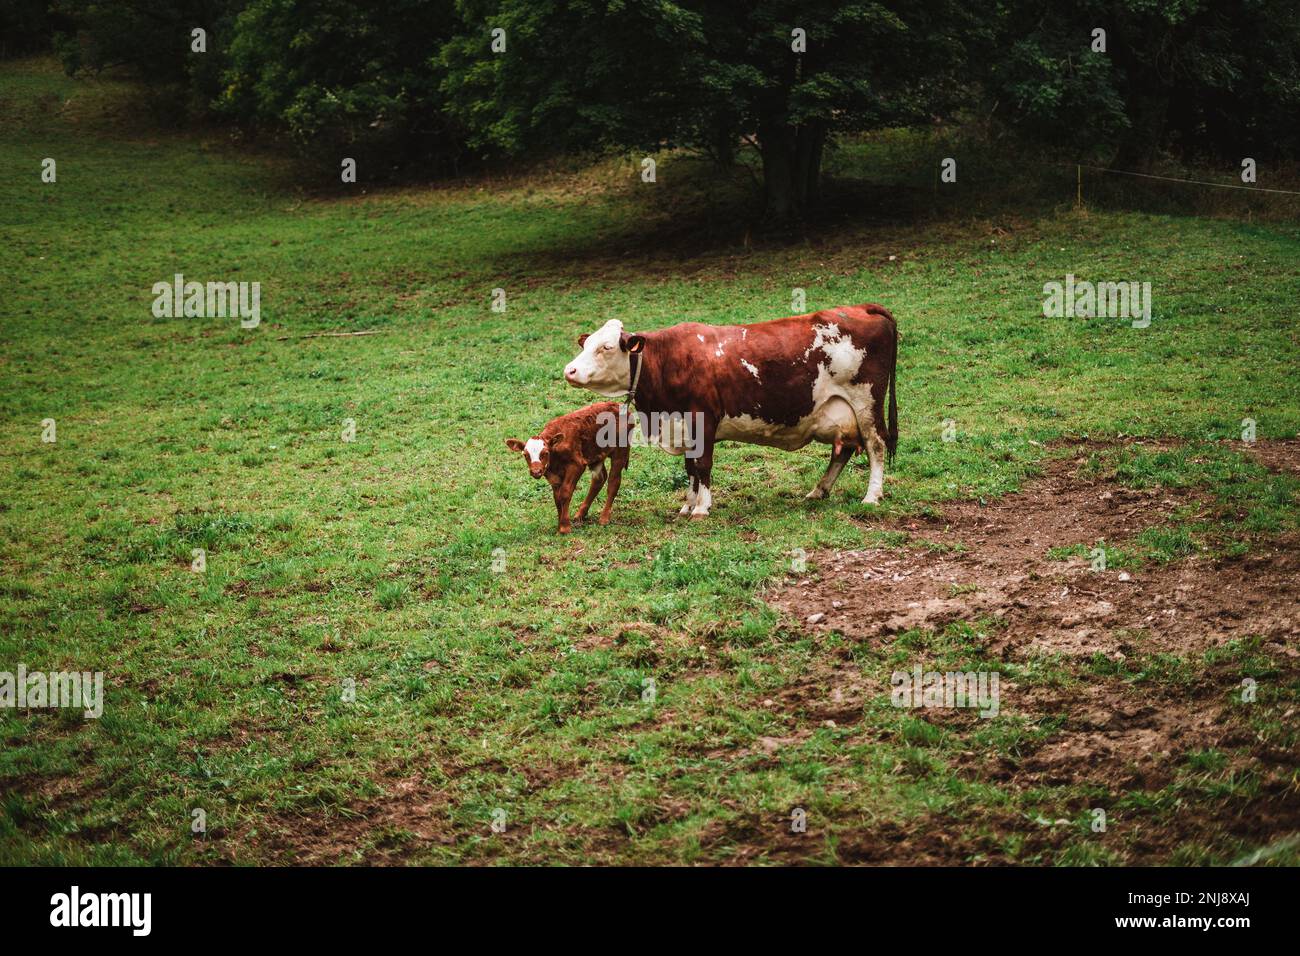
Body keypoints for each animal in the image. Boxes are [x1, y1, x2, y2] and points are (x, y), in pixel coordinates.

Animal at [504, 403, 631, 535]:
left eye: (545, 453)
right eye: (525, 455)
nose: (536, 471)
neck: (555, 453)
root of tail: (620, 406)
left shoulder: (577, 465)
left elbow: (565, 492)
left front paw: (565, 527)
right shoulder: (552, 474)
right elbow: (557, 497)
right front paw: (559, 526)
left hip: (621, 450)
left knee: (613, 482)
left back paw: (604, 518)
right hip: (596, 454)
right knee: (599, 479)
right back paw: (580, 514)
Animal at [564, 304, 899, 515]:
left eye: (606, 347)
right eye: (585, 344)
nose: (570, 370)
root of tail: (862, 307)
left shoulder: (703, 419)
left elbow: (702, 465)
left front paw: (701, 507)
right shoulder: (684, 426)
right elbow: (689, 468)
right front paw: (687, 505)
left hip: (866, 402)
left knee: (876, 445)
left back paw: (872, 496)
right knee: (844, 450)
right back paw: (818, 491)